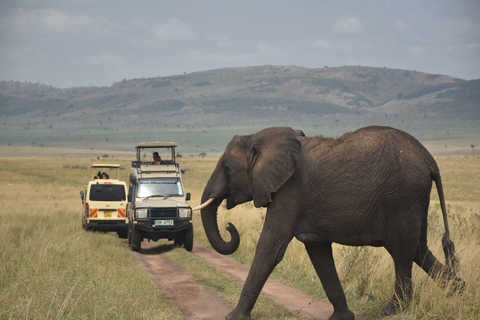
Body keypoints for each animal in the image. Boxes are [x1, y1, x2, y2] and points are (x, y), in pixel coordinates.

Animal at [194, 126, 464, 320]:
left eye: (226, 167)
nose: (229, 226)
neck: (259, 138)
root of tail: (430, 161)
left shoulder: (289, 194)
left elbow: (270, 249)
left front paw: (233, 317)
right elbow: (319, 253)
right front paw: (342, 317)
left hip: (403, 196)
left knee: (401, 252)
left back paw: (393, 310)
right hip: (414, 198)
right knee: (418, 249)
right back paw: (458, 292)